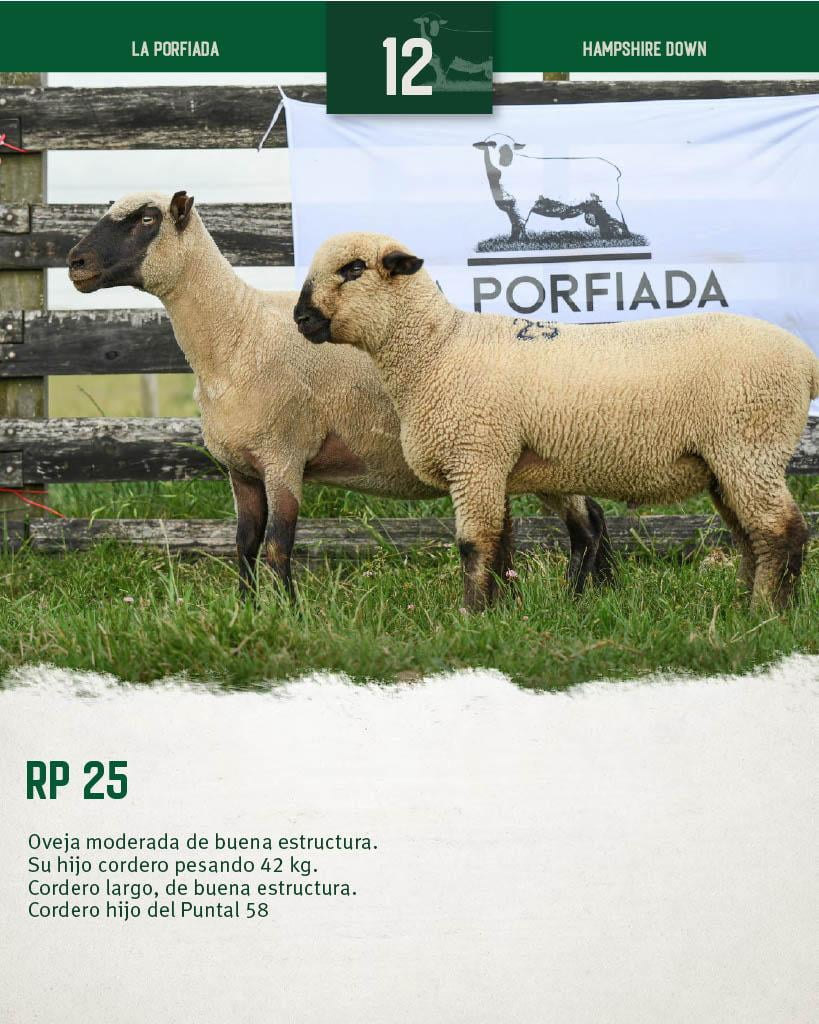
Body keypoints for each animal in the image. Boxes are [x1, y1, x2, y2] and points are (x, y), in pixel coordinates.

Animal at [66, 192, 615, 599]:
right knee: (584, 518)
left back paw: (575, 598)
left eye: (147, 218)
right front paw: (245, 609)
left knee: (585, 523)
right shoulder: (241, 470)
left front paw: (286, 614)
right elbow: (244, 546)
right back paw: (594, 593)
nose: (75, 262)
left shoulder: (283, 457)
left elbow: (277, 549)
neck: (236, 334)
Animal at [294, 231, 818, 611]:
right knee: (750, 536)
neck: (437, 348)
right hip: (727, 462)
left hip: (749, 444)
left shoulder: (474, 458)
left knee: (782, 530)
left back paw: (770, 612)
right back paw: (743, 604)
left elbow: (474, 545)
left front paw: (470, 616)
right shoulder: (494, 464)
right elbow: (502, 543)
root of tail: (805, 359)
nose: (300, 318)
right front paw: (501, 612)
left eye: (354, 269)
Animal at [473, 134, 629, 242]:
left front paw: (524, 242)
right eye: (491, 144)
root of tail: (614, 169)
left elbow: (520, 224)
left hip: (607, 201)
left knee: (619, 219)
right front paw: (512, 242)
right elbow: (514, 225)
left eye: (512, 146)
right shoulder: (511, 207)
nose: (507, 155)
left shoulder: (521, 206)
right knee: (605, 221)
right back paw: (606, 238)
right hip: (595, 204)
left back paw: (626, 238)